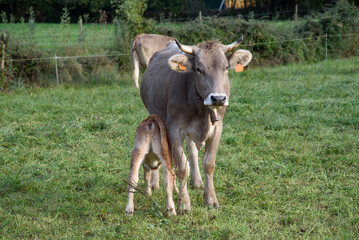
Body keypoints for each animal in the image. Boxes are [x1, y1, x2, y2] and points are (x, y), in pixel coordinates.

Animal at [139, 35, 252, 212]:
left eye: (226, 67)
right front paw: (184, 203)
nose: (218, 99)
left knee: (192, 149)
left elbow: (209, 163)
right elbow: (182, 167)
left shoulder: (217, 128)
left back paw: (197, 181)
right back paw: (154, 183)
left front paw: (210, 198)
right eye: (199, 69)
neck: (201, 111)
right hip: (152, 113)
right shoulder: (174, 129)